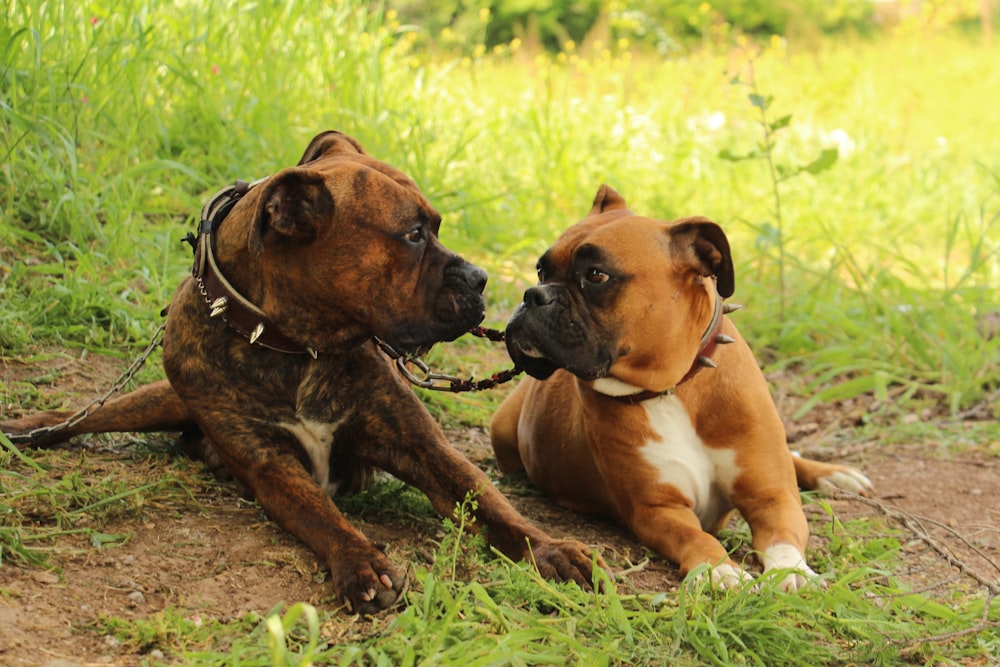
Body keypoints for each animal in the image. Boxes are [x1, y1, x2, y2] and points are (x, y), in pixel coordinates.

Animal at [1, 133, 600, 620]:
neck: (298, 346)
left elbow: (492, 503)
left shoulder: (426, 450)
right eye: (411, 235)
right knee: (86, 415)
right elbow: (321, 515)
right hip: (164, 398)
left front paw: (550, 550)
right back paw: (29, 429)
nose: (480, 280)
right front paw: (363, 563)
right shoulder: (272, 466)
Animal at [488, 185, 872, 592]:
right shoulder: (658, 510)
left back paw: (834, 475)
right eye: (541, 270)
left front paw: (792, 572)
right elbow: (696, 537)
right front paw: (721, 570)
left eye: (595, 275)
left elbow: (783, 536)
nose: (532, 294)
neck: (675, 388)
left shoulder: (771, 498)